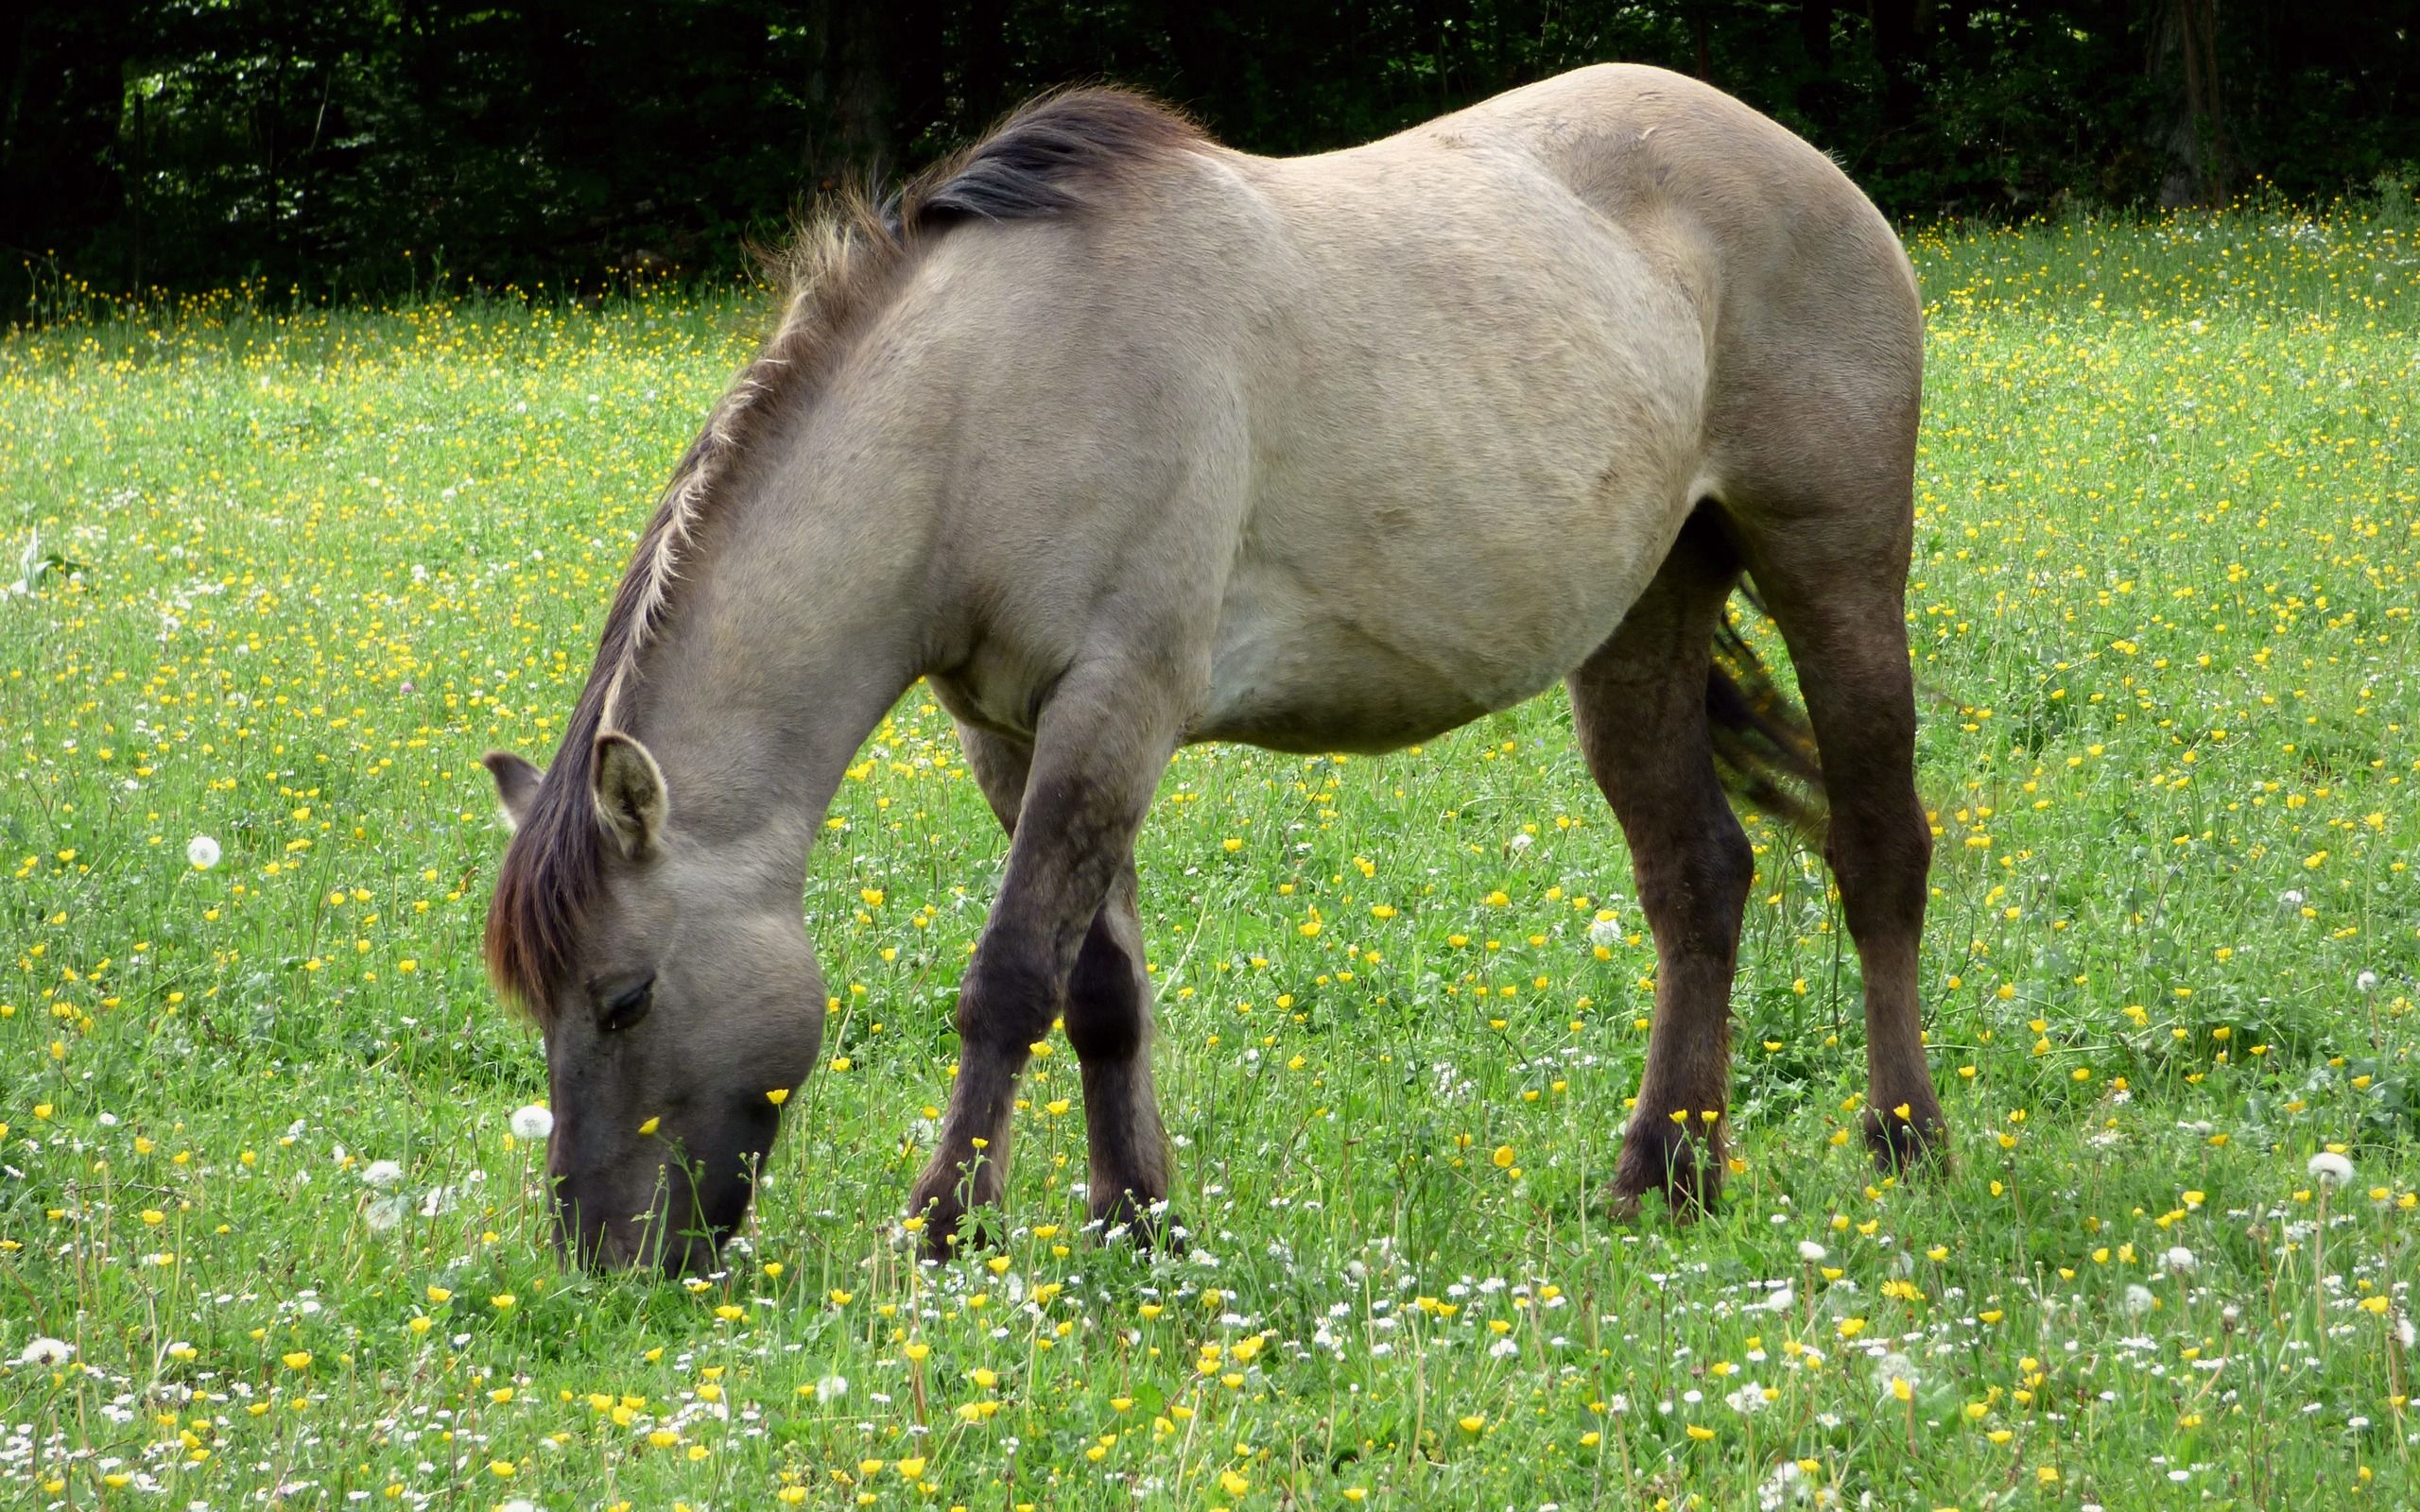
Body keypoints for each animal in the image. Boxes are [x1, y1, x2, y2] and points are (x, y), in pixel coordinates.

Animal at [481, 67, 1936, 1277]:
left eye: (622, 999)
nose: (605, 1261)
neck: (989, 400)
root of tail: (1801, 162)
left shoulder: (1116, 704)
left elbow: (1010, 982)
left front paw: (941, 1231)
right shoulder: (1015, 733)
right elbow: (1101, 994)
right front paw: (1136, 1223)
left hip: (1837, 570)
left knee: (1878, 853)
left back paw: (1906, 1143)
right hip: (1641, 621)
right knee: (1699, 881)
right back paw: (1667, 1180)